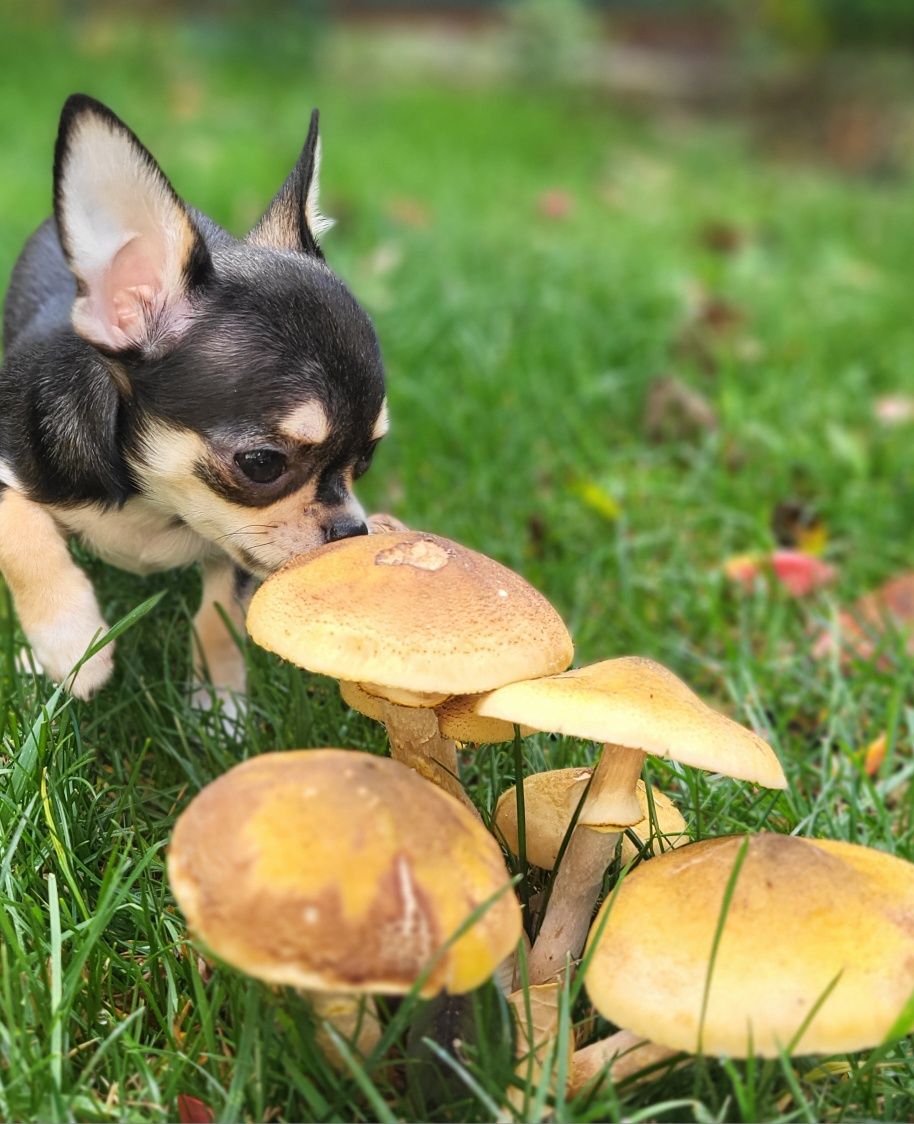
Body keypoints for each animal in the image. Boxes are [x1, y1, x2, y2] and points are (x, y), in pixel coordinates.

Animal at [0, 96, 388, 710]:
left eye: (367, 460)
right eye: (262, 464)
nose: (353, 532)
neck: (151, 504)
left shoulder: (237, 549)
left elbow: (219, 616)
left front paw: (219, 703)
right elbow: (18, 528)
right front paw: (70, 644)